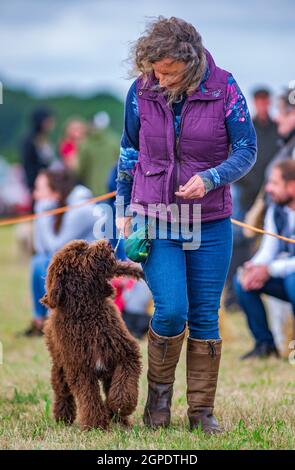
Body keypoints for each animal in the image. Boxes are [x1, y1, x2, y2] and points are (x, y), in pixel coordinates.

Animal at [41, 241, 144, 432]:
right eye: (81, 251)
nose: (108, 243)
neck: (88, 314)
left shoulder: (125, 354)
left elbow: (123, 386)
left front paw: (120, 407)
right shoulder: (80, 369)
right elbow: (89, 398)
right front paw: (96, 425)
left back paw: (119, 419)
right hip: (59, 366)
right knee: (62, 392)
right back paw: (62, 417)